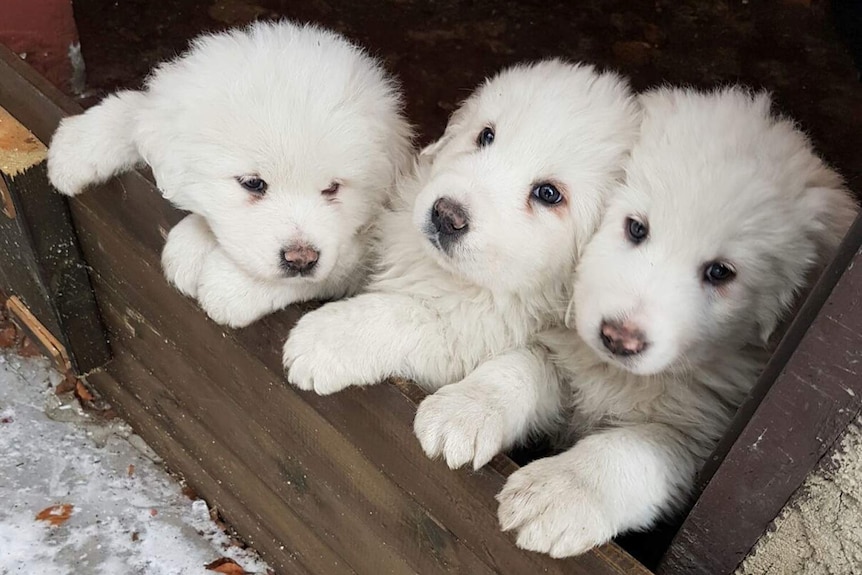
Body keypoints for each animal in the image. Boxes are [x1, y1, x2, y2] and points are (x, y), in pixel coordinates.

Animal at [45, 21, 414, 328]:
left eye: (332, 188)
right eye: (253, 183)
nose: (301, 259)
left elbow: (343, 261)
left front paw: (231, 286)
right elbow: (136, 109)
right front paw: (75, 148)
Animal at [480, 86, 856, 560]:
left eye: (720, 272)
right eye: (636, 228)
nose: (619, 338)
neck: (619, 377)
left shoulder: (695, 440)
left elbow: (629, 449)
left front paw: (557, 493)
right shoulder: (566, 351)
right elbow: (527, 364)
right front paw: (465, 406)